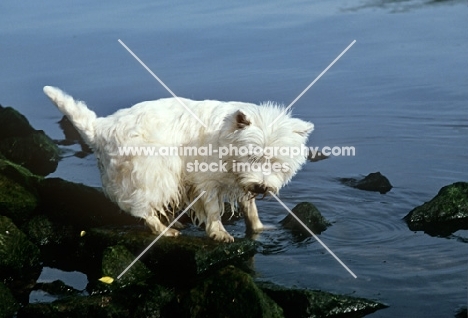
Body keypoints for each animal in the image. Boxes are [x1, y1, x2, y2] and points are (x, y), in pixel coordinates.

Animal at [44, 85, 314, 242]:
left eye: (277, 162)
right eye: (253, 157)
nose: (261, 187)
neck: (227, 142)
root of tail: (100, 127)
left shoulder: (241, 183)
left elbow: (250, 208)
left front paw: (258, 228)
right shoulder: (206, 180)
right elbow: (213, 209)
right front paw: (219, 233)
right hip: (152, 171)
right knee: (141, 205)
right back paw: (164, 229)